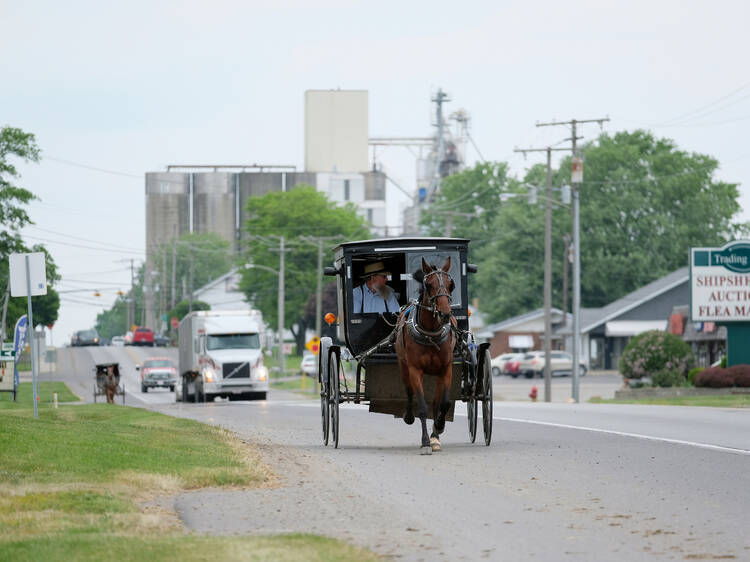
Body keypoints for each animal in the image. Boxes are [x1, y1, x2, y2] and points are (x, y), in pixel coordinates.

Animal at [394, 256, 458, 452]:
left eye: (451, 285)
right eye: (429, 285)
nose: (445, 314)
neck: (430, 333)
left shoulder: (446, 368)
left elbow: (444, 403)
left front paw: (438, 430)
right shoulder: (415, 369)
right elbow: (422, 405)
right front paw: (424, 442)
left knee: (437, 403)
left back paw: (436, 434)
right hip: (403, 365)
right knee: (409, 391)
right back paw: (409, 416)